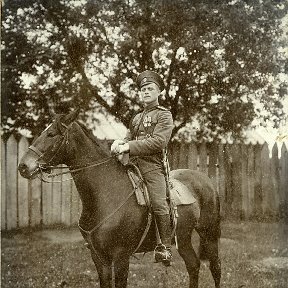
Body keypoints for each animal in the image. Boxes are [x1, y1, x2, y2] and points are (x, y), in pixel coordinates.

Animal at [18, 110, 220, 288]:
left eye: (51, 134)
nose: (23, 166)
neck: (105, 194)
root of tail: (207, 180)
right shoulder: (99, 257)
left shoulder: (121, 256)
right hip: (183, 238)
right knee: (193, 265)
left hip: (209, 234)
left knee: (215, 268)